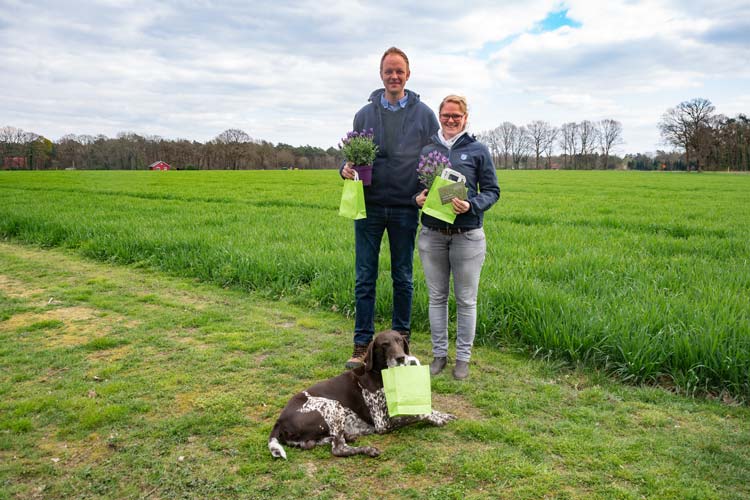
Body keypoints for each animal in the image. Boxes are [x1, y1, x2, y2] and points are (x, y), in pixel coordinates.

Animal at [270, 330, 458, 458]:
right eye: (385, 344)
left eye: (399, 340)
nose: (401, 358)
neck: (381, 374)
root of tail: (279, 421)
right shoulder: (383, 423)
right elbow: (417, 414)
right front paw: (437, 419)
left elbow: (424, 408)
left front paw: (442, 414)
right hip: (333, 405)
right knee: (338, 449)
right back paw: (367, 449)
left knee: (325, 441)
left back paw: (350, 435)